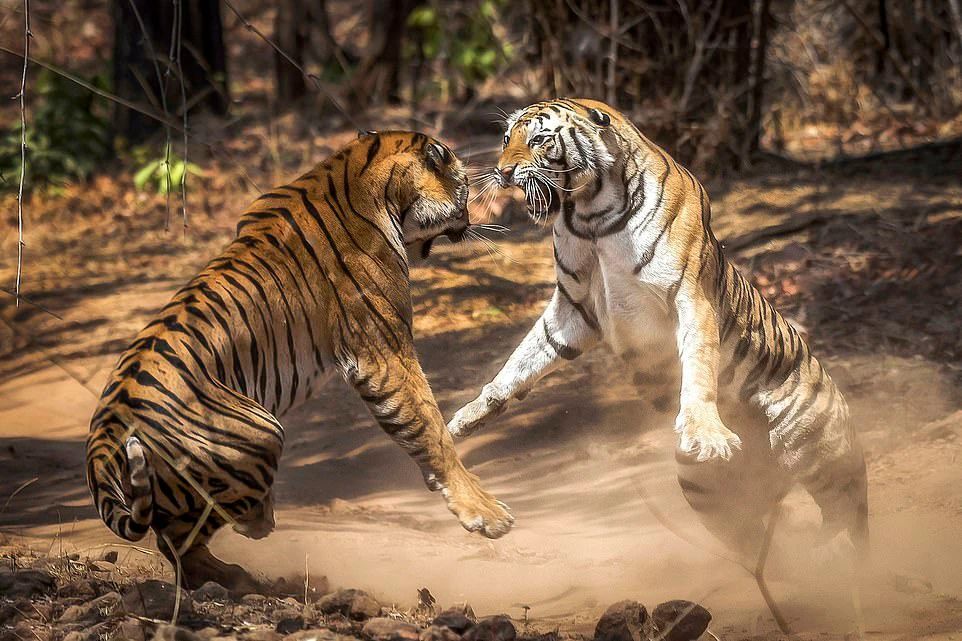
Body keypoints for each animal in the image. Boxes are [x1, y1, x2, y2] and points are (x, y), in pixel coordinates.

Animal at [86, 131, 512, 596]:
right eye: (465, 187)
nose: (470, 219)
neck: (357, 170)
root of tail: (104, 437)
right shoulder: (382, 354)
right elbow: (429, 427)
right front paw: (484, 512)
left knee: (177, 546)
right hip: (261, 431)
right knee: (187, 537)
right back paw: (253, 541)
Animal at [446, 100, 868, 564]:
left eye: (539, 139)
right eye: (506, 139)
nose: (502, 171)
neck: (588, 213)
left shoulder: (689, 296)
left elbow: (699, 366)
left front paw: (706, 431)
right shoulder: (575, 308)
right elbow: (524, 359)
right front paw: (467, 416)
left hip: (822, 455)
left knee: (850, 518)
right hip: (707, 490)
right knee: (759, 538)